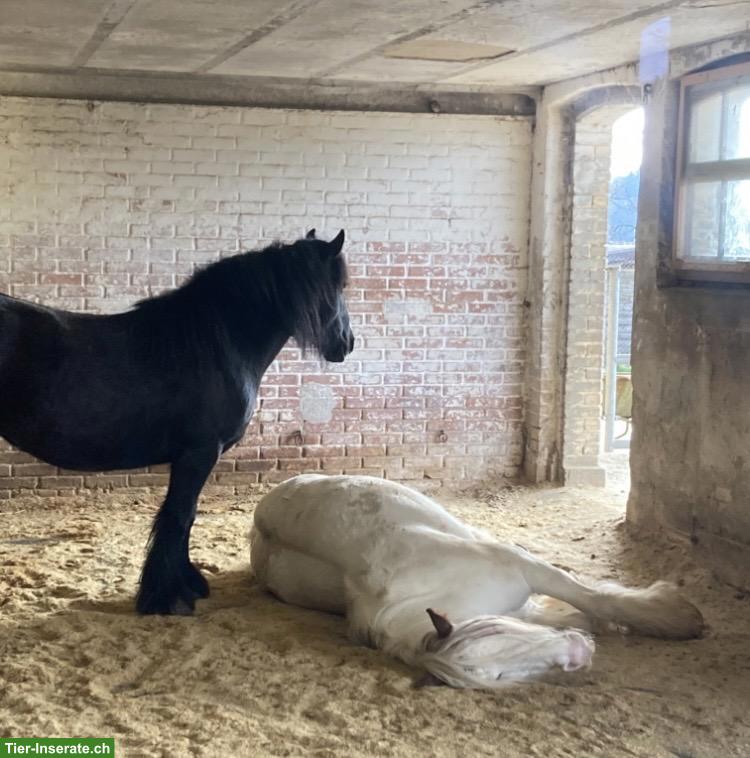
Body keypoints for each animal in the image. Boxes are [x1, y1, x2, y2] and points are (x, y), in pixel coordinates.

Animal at [0, 229, 354, 615]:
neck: (216, 344)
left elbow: (186, 517)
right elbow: (180, 516)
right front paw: (166, 598)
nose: (347, 343)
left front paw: (186, 585)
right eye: (338, 287)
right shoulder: (199, 452)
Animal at [250, 474, 704, 689]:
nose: (578, 655)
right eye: (497, 673)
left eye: (497, 636)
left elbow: (593, 597)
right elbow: (574, 612)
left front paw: (674, 617)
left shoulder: (525, 568)